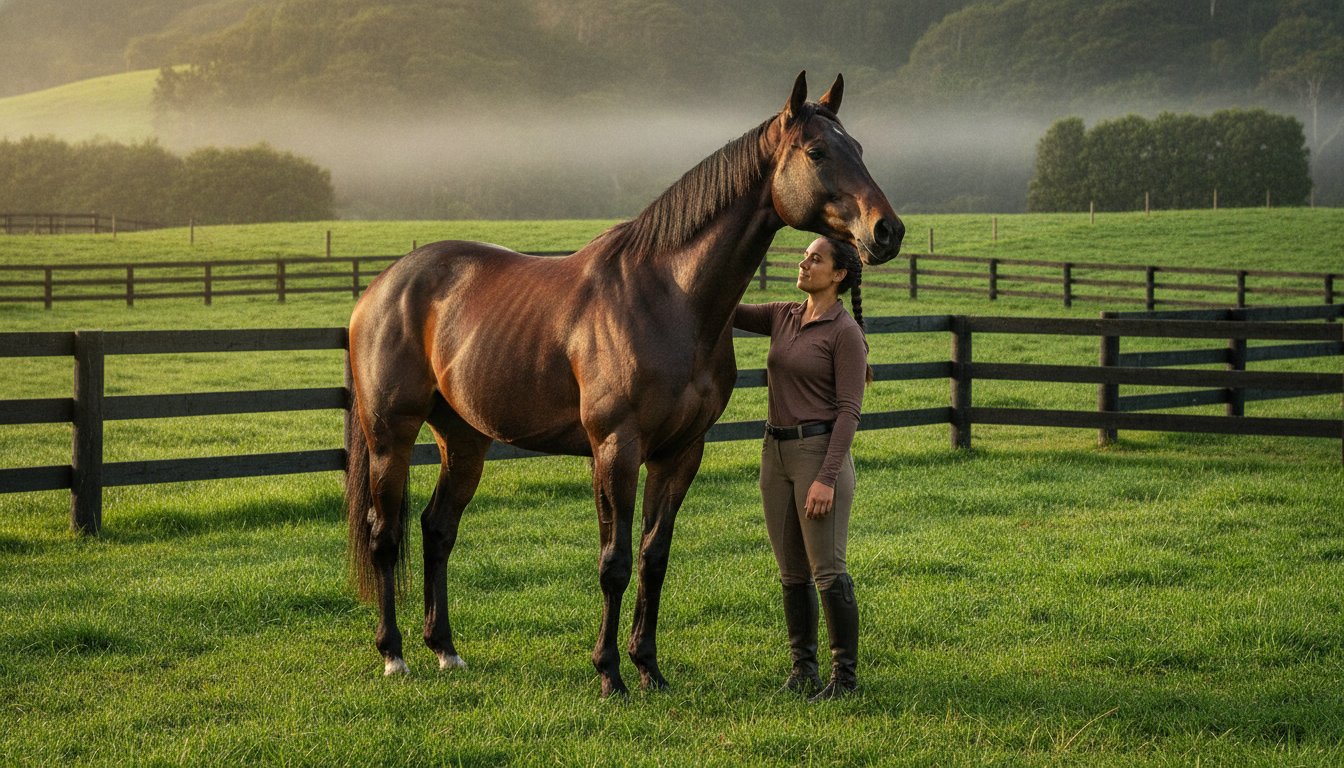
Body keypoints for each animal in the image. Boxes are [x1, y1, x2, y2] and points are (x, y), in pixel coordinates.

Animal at [345, 71, 904, 697]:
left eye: (858, 147)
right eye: (816, 151)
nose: (887, 231)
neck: (669, 297)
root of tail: (381, 288)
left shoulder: (679, 453)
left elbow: (652, 558)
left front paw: (648, 667)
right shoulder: (616, 448)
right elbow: (613, 562)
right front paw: (609, 672)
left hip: (464, 439)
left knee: (438, 529)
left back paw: (445, 647)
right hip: (391, 436)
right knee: (384, 535)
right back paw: (393, 654)